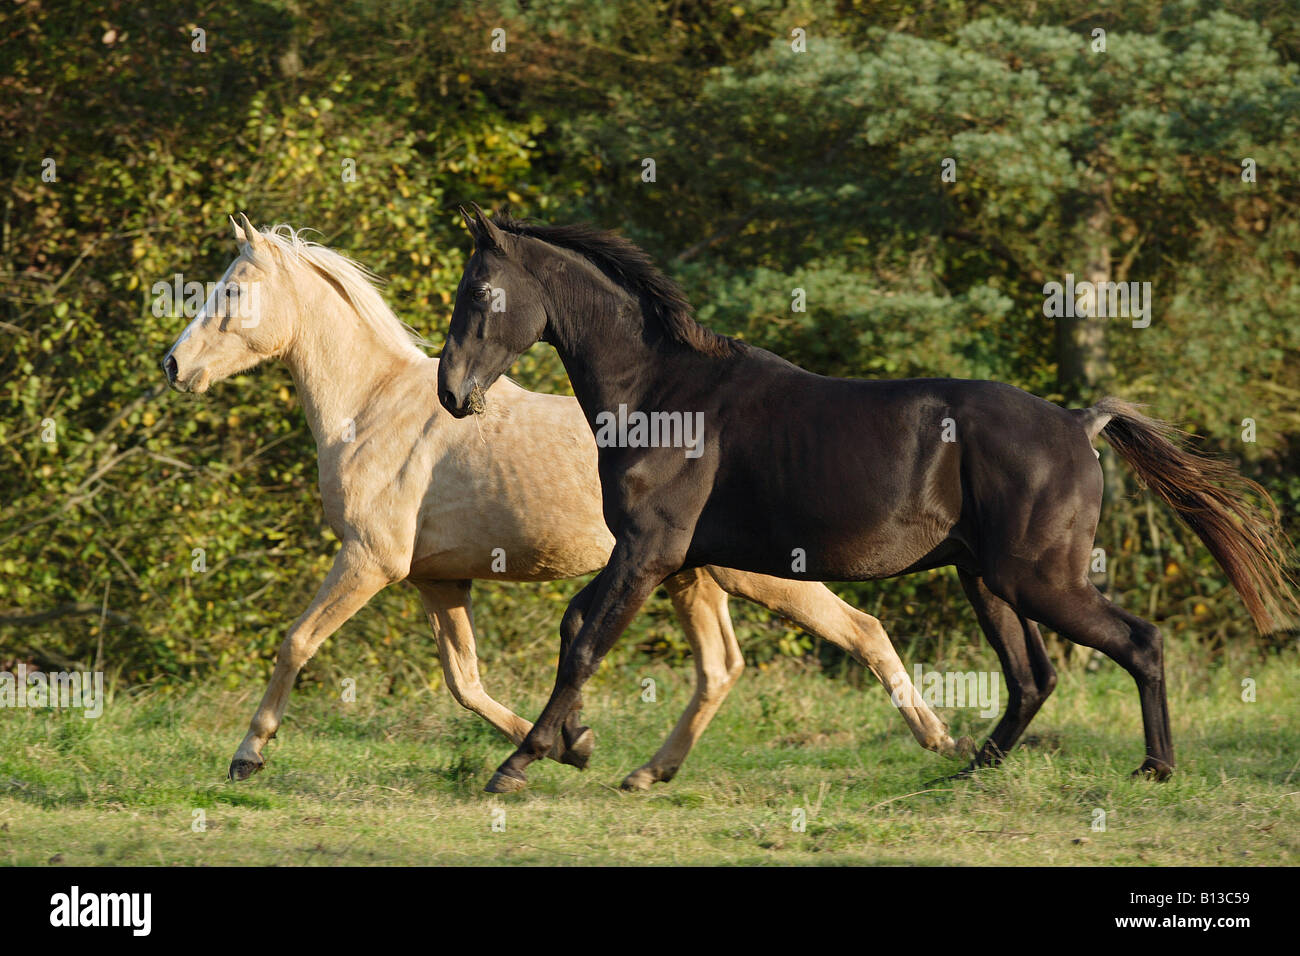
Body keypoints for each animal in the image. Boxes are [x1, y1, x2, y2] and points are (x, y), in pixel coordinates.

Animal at [160, 215, 965, 790]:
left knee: (860, 630)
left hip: (754, 573)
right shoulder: (436, 580)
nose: (173, 365)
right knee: (724, 666)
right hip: (690, 577)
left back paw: (942, 741)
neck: (373, 408)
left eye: (232, 292)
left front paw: (247, 757)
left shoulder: (370, 562)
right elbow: (467, 683)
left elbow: (297, 642)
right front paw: (571, 745)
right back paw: (648, 772)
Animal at [437, 204, 1298, 794]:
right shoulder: (660, 560)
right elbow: (578, 628)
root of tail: (1078, 423)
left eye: (480, 291)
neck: (663, 393)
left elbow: (585, 640)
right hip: (987, 581)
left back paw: (1153, 767)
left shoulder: (651, 551)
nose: (451, 393)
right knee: (1033, 678)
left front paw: (521, 762)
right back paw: (963, 769)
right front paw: (577, 746)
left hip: (1039, 580)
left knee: (1139, 644)